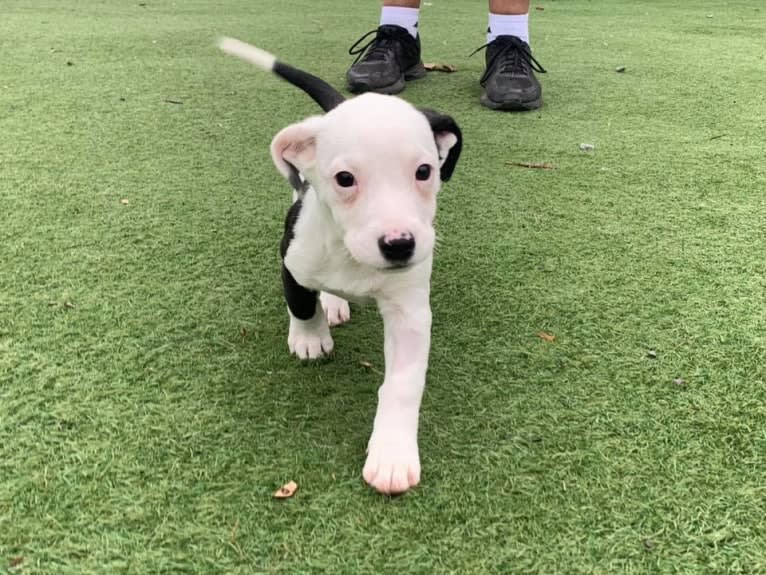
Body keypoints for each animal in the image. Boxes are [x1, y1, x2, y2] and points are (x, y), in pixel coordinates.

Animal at [219, 37, 464, 496]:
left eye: (425, 171)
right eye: (345, 179)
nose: (399, 244)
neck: (352, 256)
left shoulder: (409, 313)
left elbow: (403, 384)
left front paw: (392, 453)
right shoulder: (291, 257)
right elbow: (300, 302)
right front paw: (310, 338)